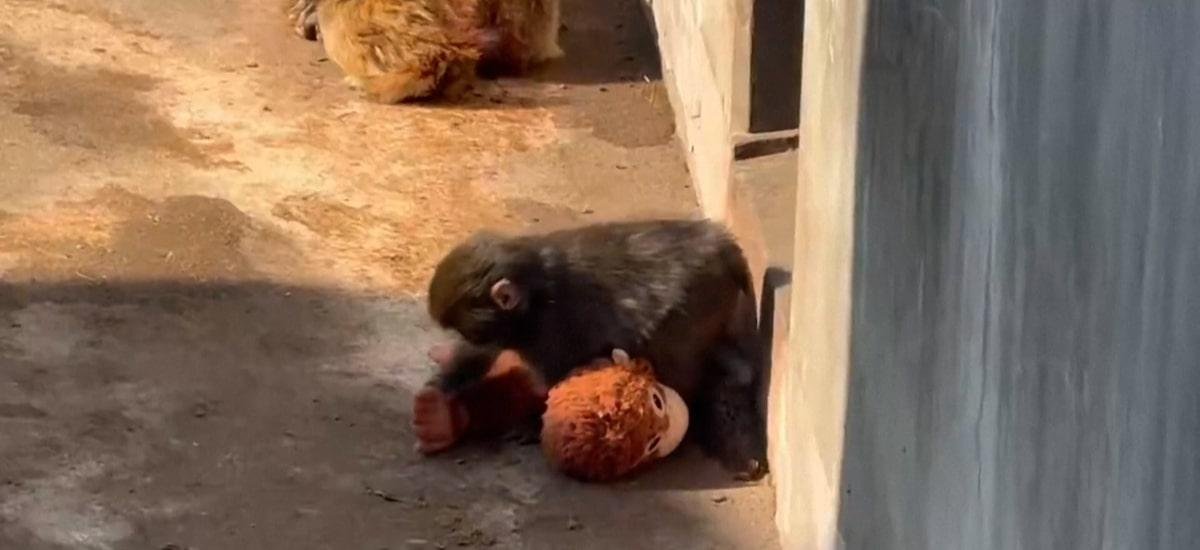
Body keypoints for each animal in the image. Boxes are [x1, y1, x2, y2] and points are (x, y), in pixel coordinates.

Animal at [425, 219, 768, 480]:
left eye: (466, 329)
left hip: (698, 302)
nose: (470, 338)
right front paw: (441, 390)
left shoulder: (552, 329)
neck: (535, 296)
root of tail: (719, 244)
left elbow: (557, 379)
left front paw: (534, 425)